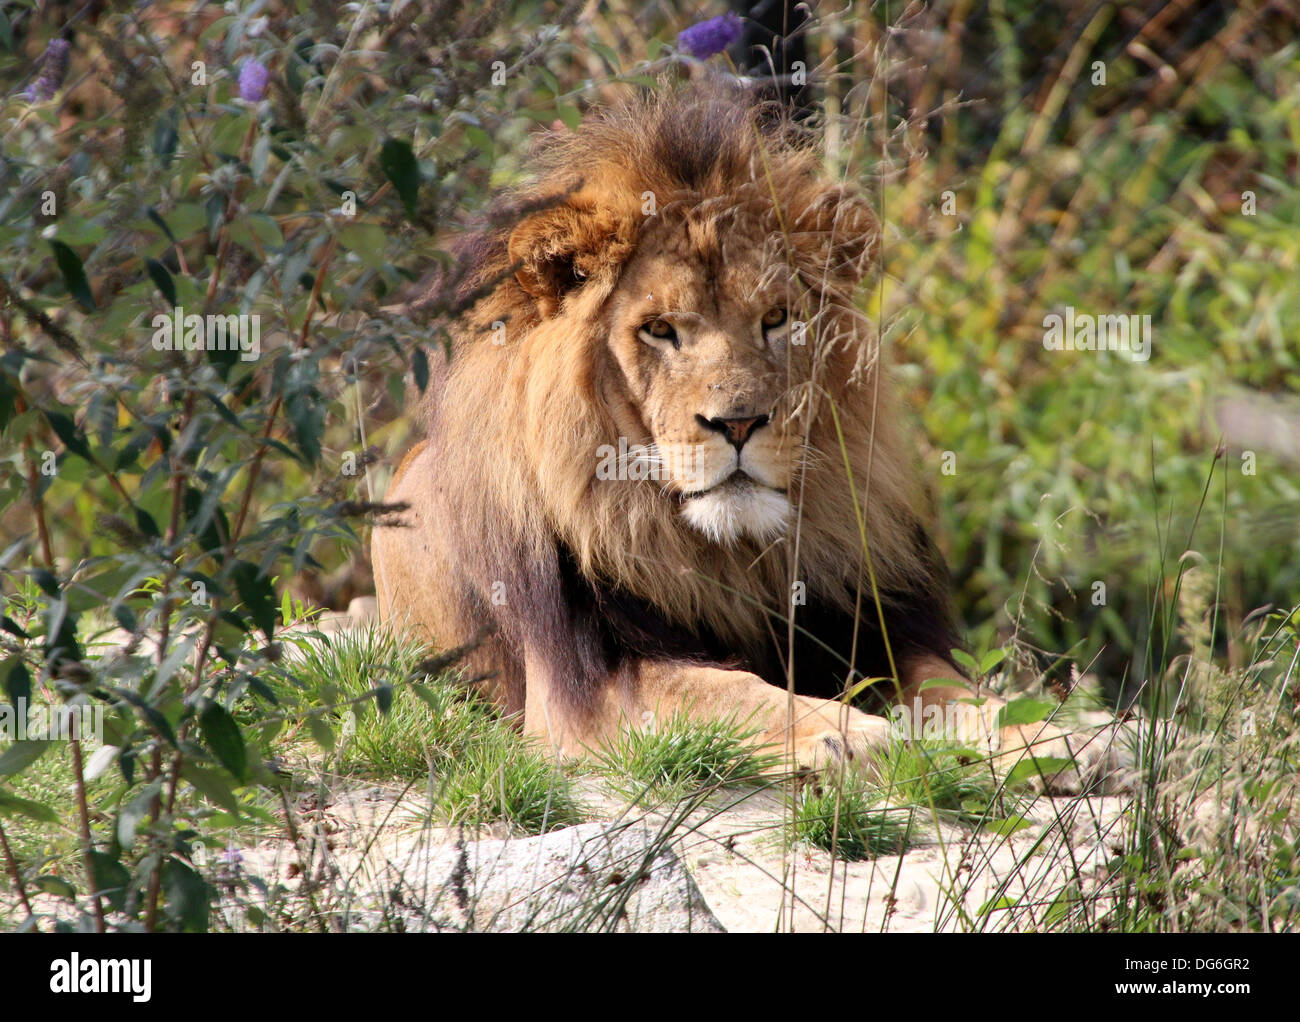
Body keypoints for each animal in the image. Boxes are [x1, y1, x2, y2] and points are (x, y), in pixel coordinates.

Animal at [373, 79, 1120, 787]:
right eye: (659, 329)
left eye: (777, 319)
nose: (737, 423)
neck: (729, 556)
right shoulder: (582, 692)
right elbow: (725, 690)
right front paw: (848, 733)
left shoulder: (861, 625)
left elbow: (954, 689)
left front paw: (1052, 736)